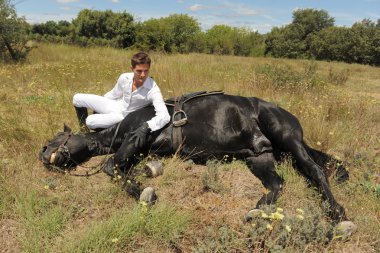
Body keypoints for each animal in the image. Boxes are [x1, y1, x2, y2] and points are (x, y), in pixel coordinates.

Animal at [40, 92, 348, 221]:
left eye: (55, 137)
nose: (42, 154)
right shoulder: (141, 149)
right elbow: (122, 166)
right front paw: (142, 182)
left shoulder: (137, 134)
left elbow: (109, 165)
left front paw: (144, 193)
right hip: (259, 156)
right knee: (277, 183)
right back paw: (258, 210)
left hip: (287, 138)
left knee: (315, 171)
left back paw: (337, 213)